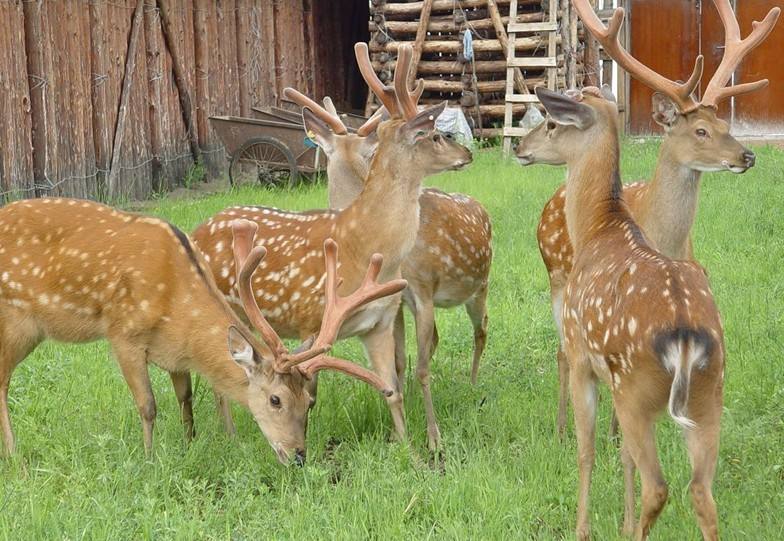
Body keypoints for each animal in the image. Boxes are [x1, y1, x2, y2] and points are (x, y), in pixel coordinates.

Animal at [0, 198, 404, 464]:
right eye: (275, 399)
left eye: (309, 402)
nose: (298, 456)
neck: (176, 304)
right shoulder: (123, 333)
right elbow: (148, 405)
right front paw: (150, 461)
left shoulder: (174, 351)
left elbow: (186, 398)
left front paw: (190, 444)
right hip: (15, 319)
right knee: (2, 381)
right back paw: (16, 458)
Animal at [191, 43, 472, 442]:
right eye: (433, 135)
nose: (468, 154)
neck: (365, 242)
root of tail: (197, 230)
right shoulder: (312, 318)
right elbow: (310, 391)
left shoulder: (379, 322)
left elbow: (393, 389)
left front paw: (407, 445)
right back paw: (229, 436)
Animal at [280, 43, 490, 452]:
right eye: (435, 136)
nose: (468, 154)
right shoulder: (396, 303)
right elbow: (399, 363)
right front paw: (400, 428)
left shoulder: (420, 291)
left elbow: (419, 367)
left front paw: (433, 438)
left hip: (480, 285)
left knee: (481, 329)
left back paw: (475, 386)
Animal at [520, 0, 776, 438]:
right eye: (700, 130)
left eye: (725, 125)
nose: (748, 156)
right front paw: (604, 432)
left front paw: (613, 432)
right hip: (555, 274)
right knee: (561, 352)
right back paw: (560, 426)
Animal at [524, 84, 724, 540]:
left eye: (551, 123)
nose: (522, 148)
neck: (598, 227)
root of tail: (685, 337)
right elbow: (623, 456)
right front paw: (621, 519)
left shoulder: (584, 357)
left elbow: (587, 451)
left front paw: (583, 528)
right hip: (710, 393)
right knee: (702, 494)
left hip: (637, 387)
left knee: (660, 487)